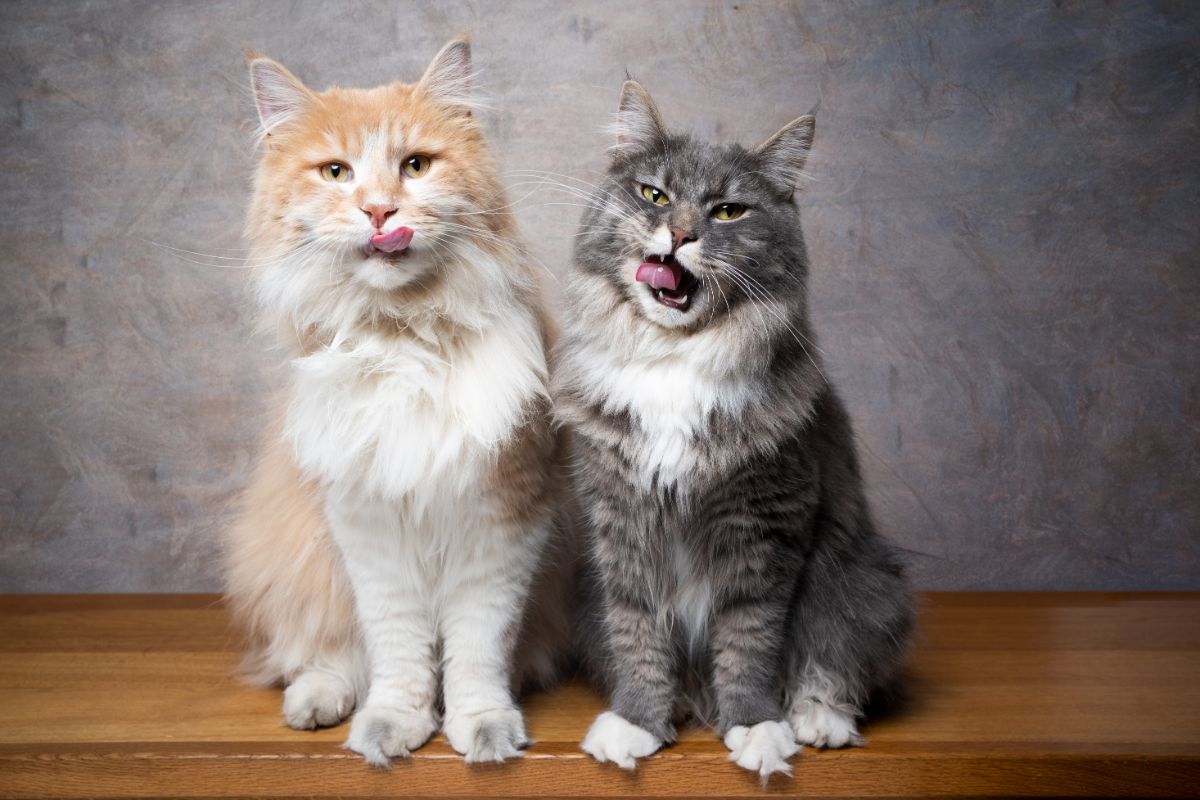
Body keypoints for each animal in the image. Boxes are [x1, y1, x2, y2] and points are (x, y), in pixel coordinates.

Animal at [224, 40, 571, 767]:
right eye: (336, 172)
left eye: (416, 165)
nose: (381, 212)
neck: (405, 337)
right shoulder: (368, 524)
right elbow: (398, 652)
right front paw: (392, 726)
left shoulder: (502, 520)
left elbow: (475, 649)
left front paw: (482, 727)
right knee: (326, 655)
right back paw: (316, 703)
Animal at [554, 82, 916, 782]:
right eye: (654, 195)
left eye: (727, 211)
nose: (679, 233)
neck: (674, 361)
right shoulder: (622, 524)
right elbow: (638, 635)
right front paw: (638, 723)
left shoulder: (764, 529)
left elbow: (749, 643)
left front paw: (754, 727)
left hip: (863, 583)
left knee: (834, 664)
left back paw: (817, 720)